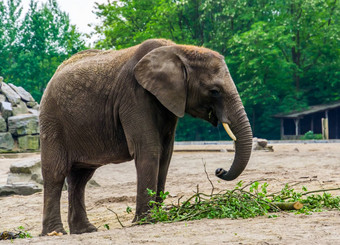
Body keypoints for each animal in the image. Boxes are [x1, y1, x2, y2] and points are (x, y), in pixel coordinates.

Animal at [39, 38, 252, 235]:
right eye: (214, 91)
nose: (219, 170)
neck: (178, 50)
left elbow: (166, 154)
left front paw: (159, 217)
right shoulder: (134, 96)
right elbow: (149, 150)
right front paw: (146, 221)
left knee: (80, 178)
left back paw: (85, 230)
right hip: (52, 121)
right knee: (56, 173)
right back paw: (54, 232)